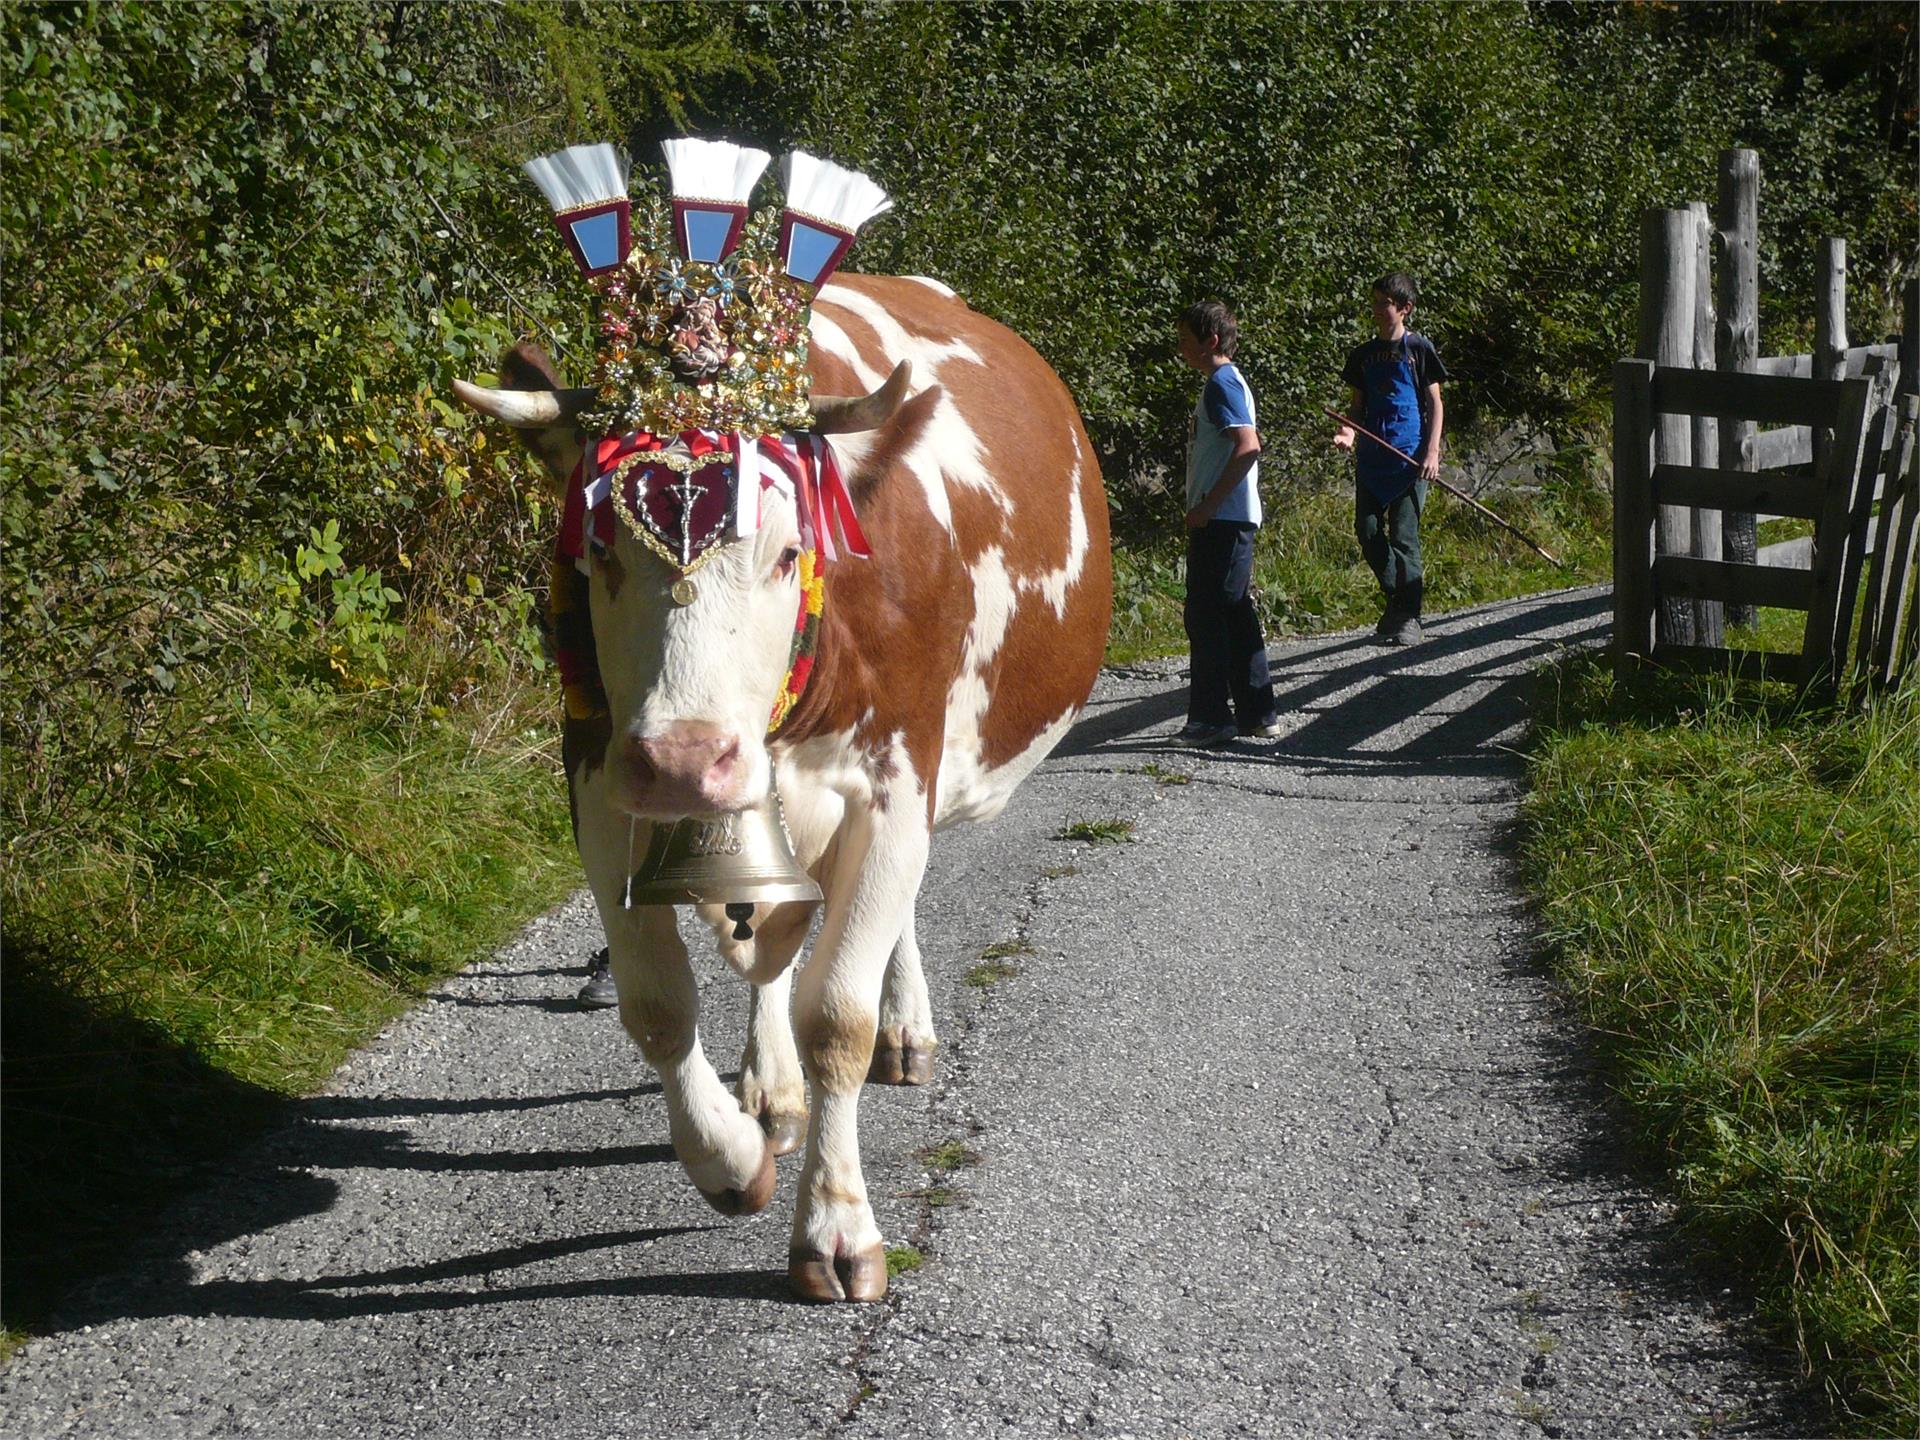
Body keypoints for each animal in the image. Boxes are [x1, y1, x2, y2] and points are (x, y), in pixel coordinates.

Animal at [455, 272, 1113, 1305]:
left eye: (786, 553)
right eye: (602, 554)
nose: (685, 761)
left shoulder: (895, 783)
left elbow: (837, 1016)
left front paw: (837, 1227)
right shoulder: (599, 780)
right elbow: (658, 1005)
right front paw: (730, 1157)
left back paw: (903, 1028)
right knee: (767, 943)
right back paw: (771, 1088)